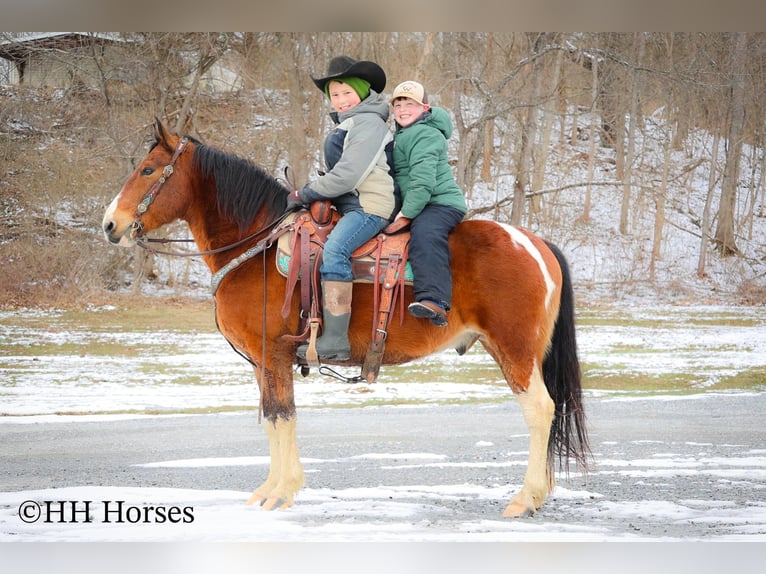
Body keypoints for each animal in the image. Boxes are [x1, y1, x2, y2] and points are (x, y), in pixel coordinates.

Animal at [100, 119, 592, 520]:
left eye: (148, 171)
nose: (110, 224)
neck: (257, 248)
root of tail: (534, 242)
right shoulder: (265, 362)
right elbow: (275, 416)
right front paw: (269, 491)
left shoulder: (273, 354)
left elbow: (282, 416)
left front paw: (281, 493)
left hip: (515, 351)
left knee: (540, 411)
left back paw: (525, 498)